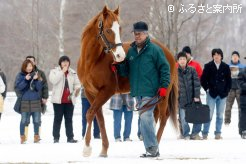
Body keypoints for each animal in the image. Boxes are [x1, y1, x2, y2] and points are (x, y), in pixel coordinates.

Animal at [78, 6, 178, 158]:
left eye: (119, 29)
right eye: (108, 30)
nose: (120, 56)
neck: (92, 62)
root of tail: (168, 53)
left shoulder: (106, 91)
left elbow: (90, 113)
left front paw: (87, 148)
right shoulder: (90, 93)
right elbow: (98, 118)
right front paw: (103, 150)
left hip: (163, 94)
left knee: (163, 116)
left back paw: (156, 147)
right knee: (152, 115)